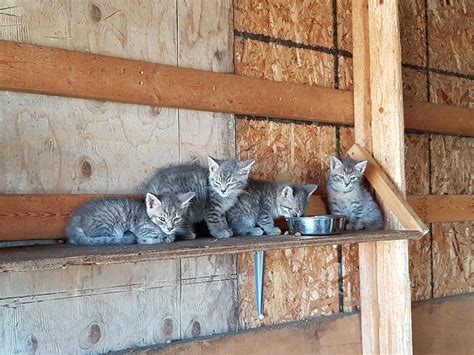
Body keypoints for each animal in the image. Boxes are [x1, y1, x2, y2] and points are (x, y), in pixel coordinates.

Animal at [65, 193, 194, 246]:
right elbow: (157, 238)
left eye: (176, 219)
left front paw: (184, 233)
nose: (169, 228)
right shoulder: (142, 229)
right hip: (111, 227)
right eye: (162, 218)